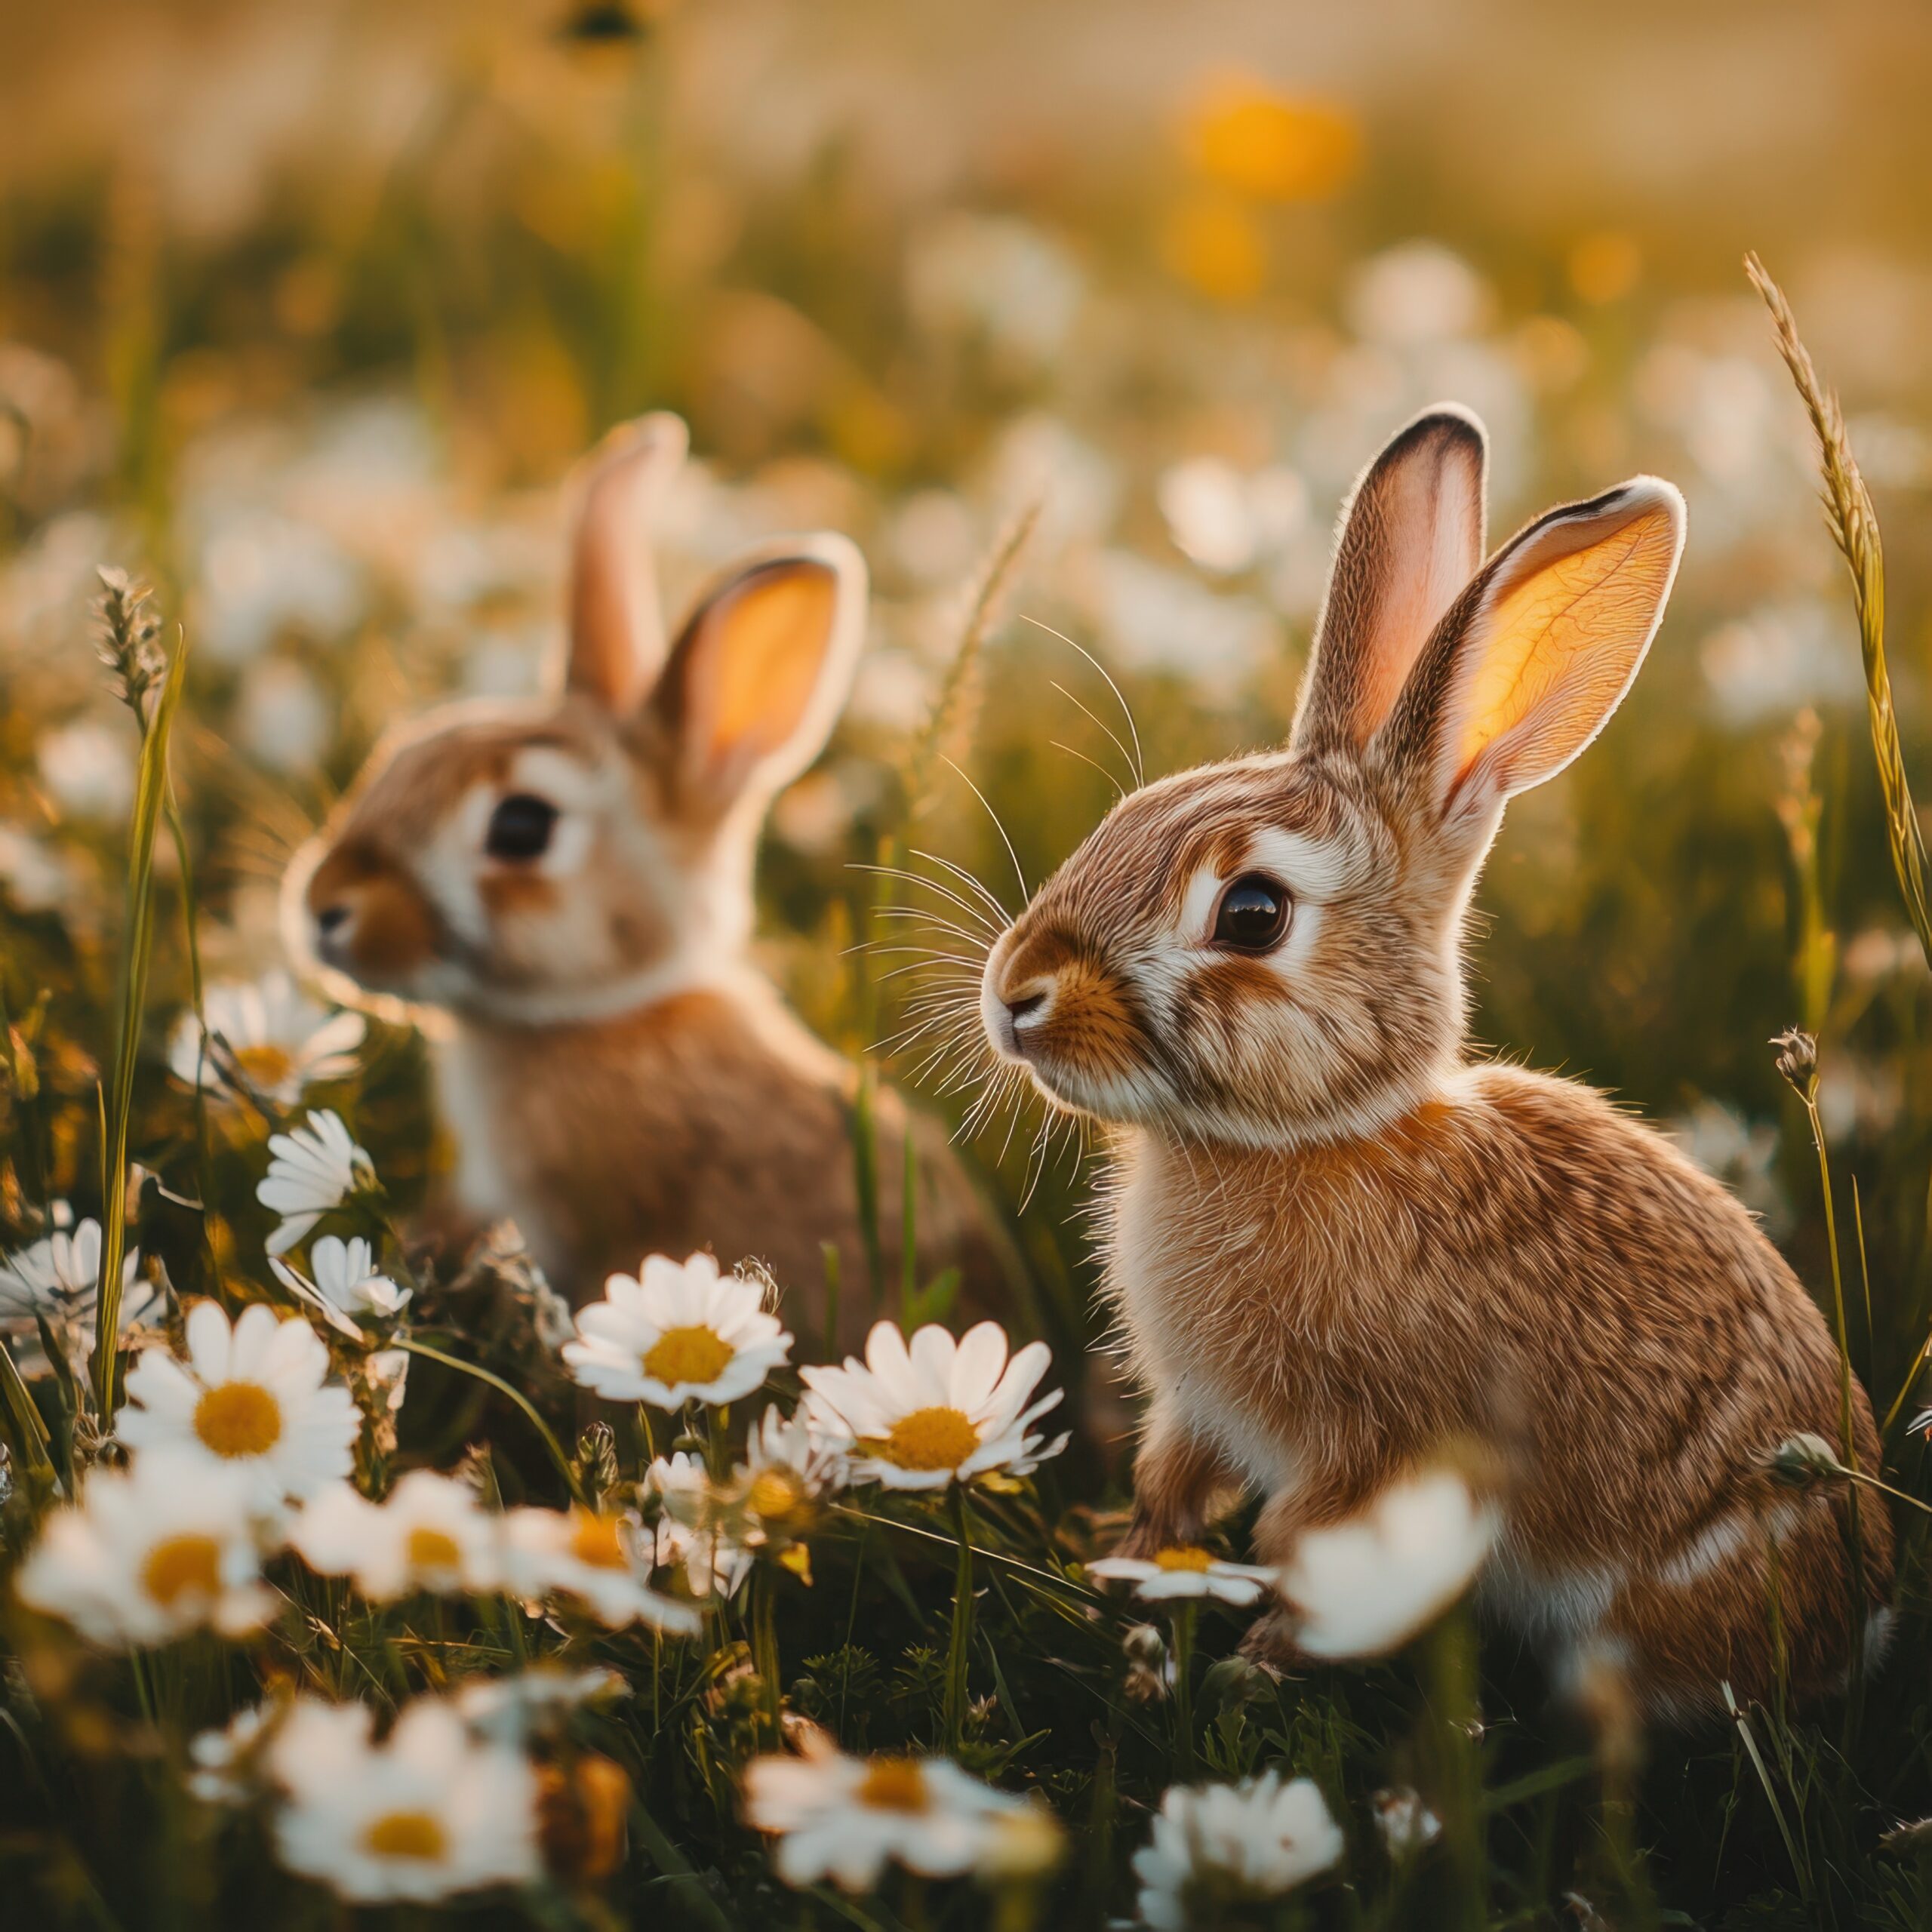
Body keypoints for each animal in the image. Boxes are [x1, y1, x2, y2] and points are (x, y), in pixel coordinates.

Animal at [977, 403, 1892, 1722]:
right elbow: (1172, 1484)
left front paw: (1250, 1675)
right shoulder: (1196, 1415)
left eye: (1252, 915)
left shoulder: (1376, 1453)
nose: (1016, 996)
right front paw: (1128, 1580)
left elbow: (1308, 1554)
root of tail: (1865, 1617)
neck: (1315, 1136)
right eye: (1126, 817)